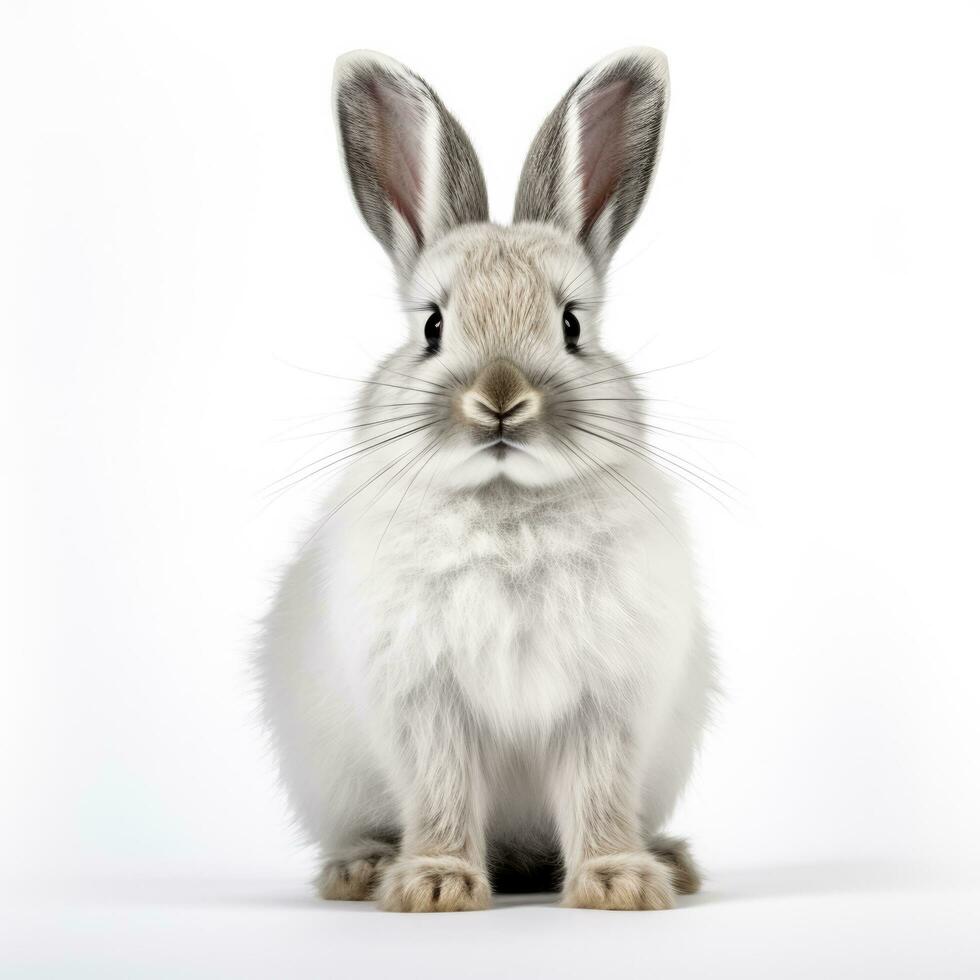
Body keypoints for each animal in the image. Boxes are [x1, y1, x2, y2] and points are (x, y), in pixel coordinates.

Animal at [256, 47, 716, 912]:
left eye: (572, 325)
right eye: (433, 326)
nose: (500, 398)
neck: (506, 505)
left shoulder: (605, 703)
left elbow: (598, 793)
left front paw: (619, 882)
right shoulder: (426, 703)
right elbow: (440, 788)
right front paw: (436, 884)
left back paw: (670, 860)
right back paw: (362, 869)